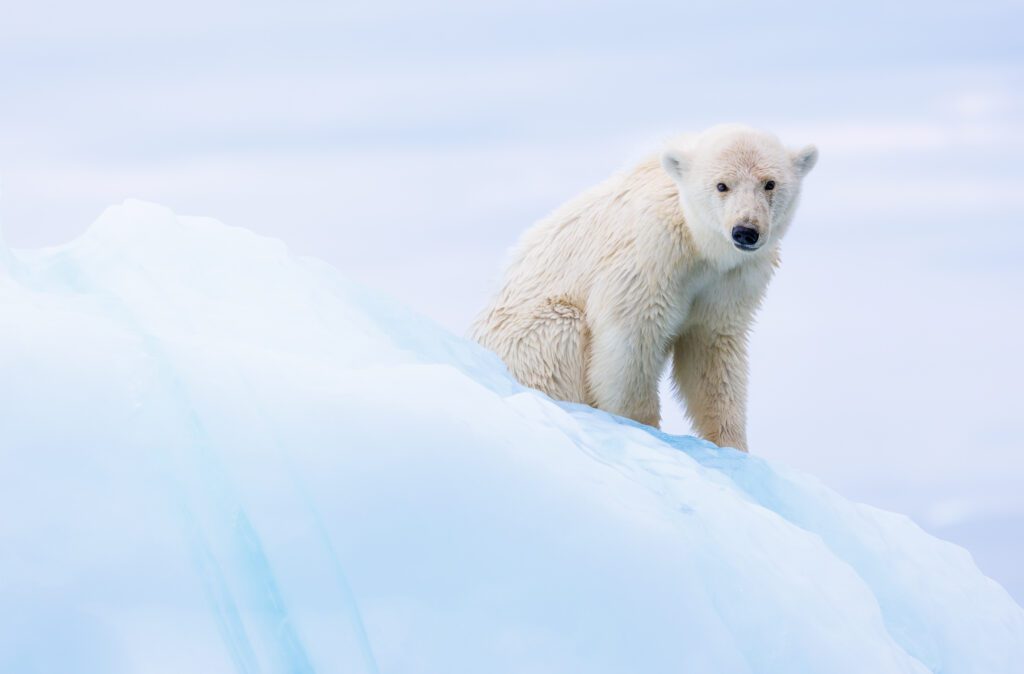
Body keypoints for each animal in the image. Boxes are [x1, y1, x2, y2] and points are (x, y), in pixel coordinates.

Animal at [471, 124, 818, 452]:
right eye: (722, 185)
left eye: (769, 183)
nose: (745, 230)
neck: (697, 241)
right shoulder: (650, 257)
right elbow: (629, 344)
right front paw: (646, 430)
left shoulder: (731, 279)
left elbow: (712, 352)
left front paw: (732, 446)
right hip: (530, 337)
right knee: (559, 335)